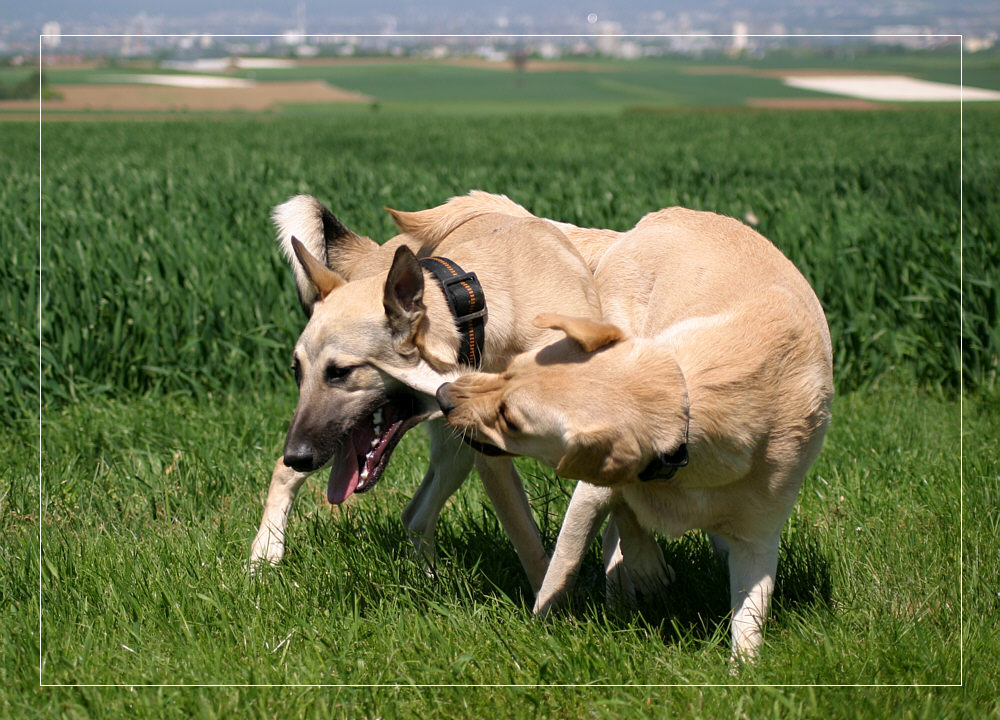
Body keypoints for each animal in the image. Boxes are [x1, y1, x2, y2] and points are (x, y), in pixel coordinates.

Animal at [248, 190, 608, 592]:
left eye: (340, 372)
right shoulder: (493, 463)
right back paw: (264, 558)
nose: (298, 454)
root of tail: (376, 254)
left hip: (450, 456)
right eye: (297, 372)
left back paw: (430, 583)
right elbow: (531, 546)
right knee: (284, 473)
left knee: (415, 515)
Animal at [438, 208, 836, 660]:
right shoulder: (594, 488)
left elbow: (749, 622)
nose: (444, 396)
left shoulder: (759, 540)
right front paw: (544, 623)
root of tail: (656, 217)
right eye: (510, 371)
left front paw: (743, 669)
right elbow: (570, 560)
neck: (686, 400)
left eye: (511, 419)